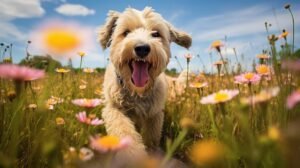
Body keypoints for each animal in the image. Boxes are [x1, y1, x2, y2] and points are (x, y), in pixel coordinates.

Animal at [98, 6, 192, 159]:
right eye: (126, 32)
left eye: (156, 34)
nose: (142, 48)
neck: (137, 92)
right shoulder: (113, 108)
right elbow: (124, 130)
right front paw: (133, 154)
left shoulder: (155, 113)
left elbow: (152, 136)